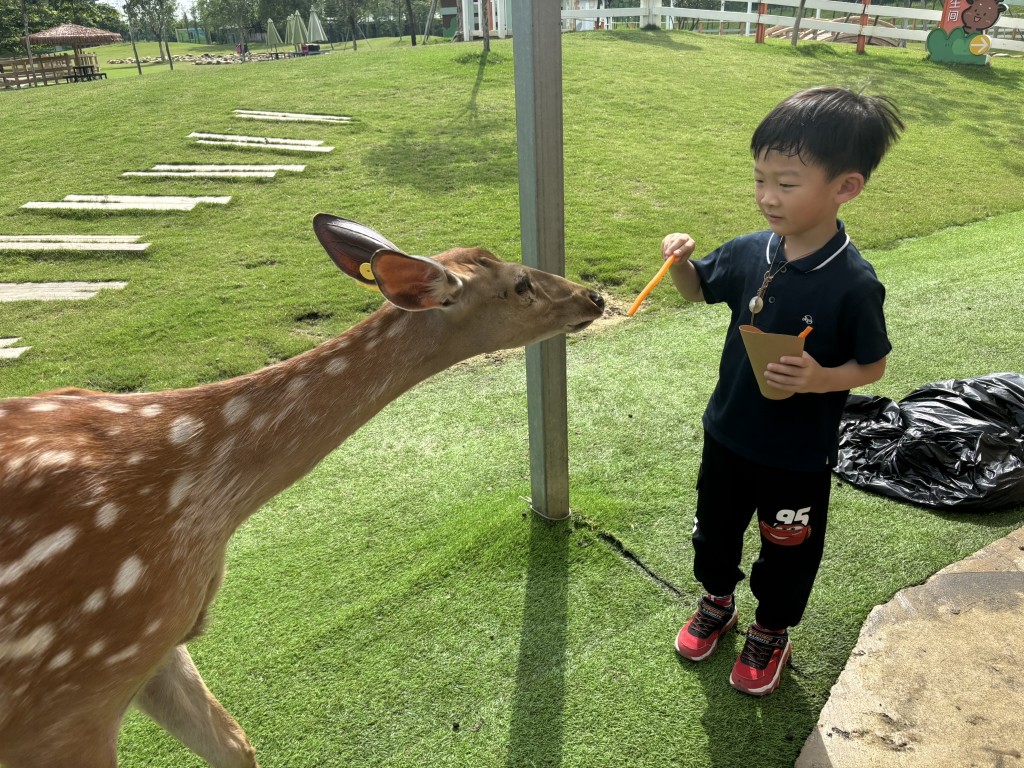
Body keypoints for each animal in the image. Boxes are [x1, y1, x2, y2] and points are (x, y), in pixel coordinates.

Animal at [0, 214, 605, 768]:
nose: (593, 295)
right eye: (520, 284)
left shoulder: (156, 640)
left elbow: (236, 745)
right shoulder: (72, 688)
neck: (201, 498)